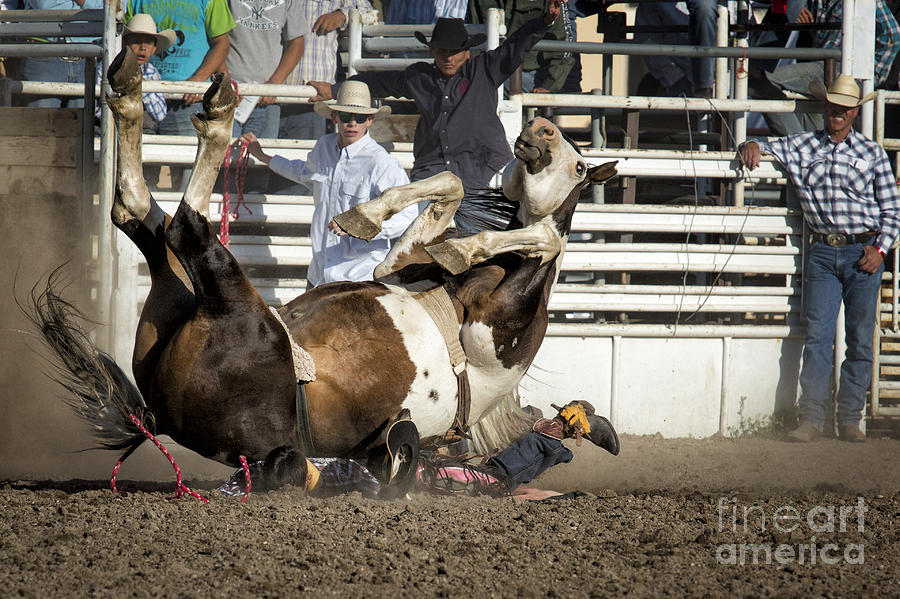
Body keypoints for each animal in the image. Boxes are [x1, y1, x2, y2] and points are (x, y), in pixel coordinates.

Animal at [28, 48, 620, 496]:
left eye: (581, 165)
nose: (542, 128)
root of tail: (159, 418)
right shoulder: (398, 266)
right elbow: (446, 189)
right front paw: (372, 217)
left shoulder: (491, 331)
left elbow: (548, 237)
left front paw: (474, 243)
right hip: (172, 309)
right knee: (142, 218)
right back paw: (135, 86)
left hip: (234, 311)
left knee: (182, 229)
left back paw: (213, 110)